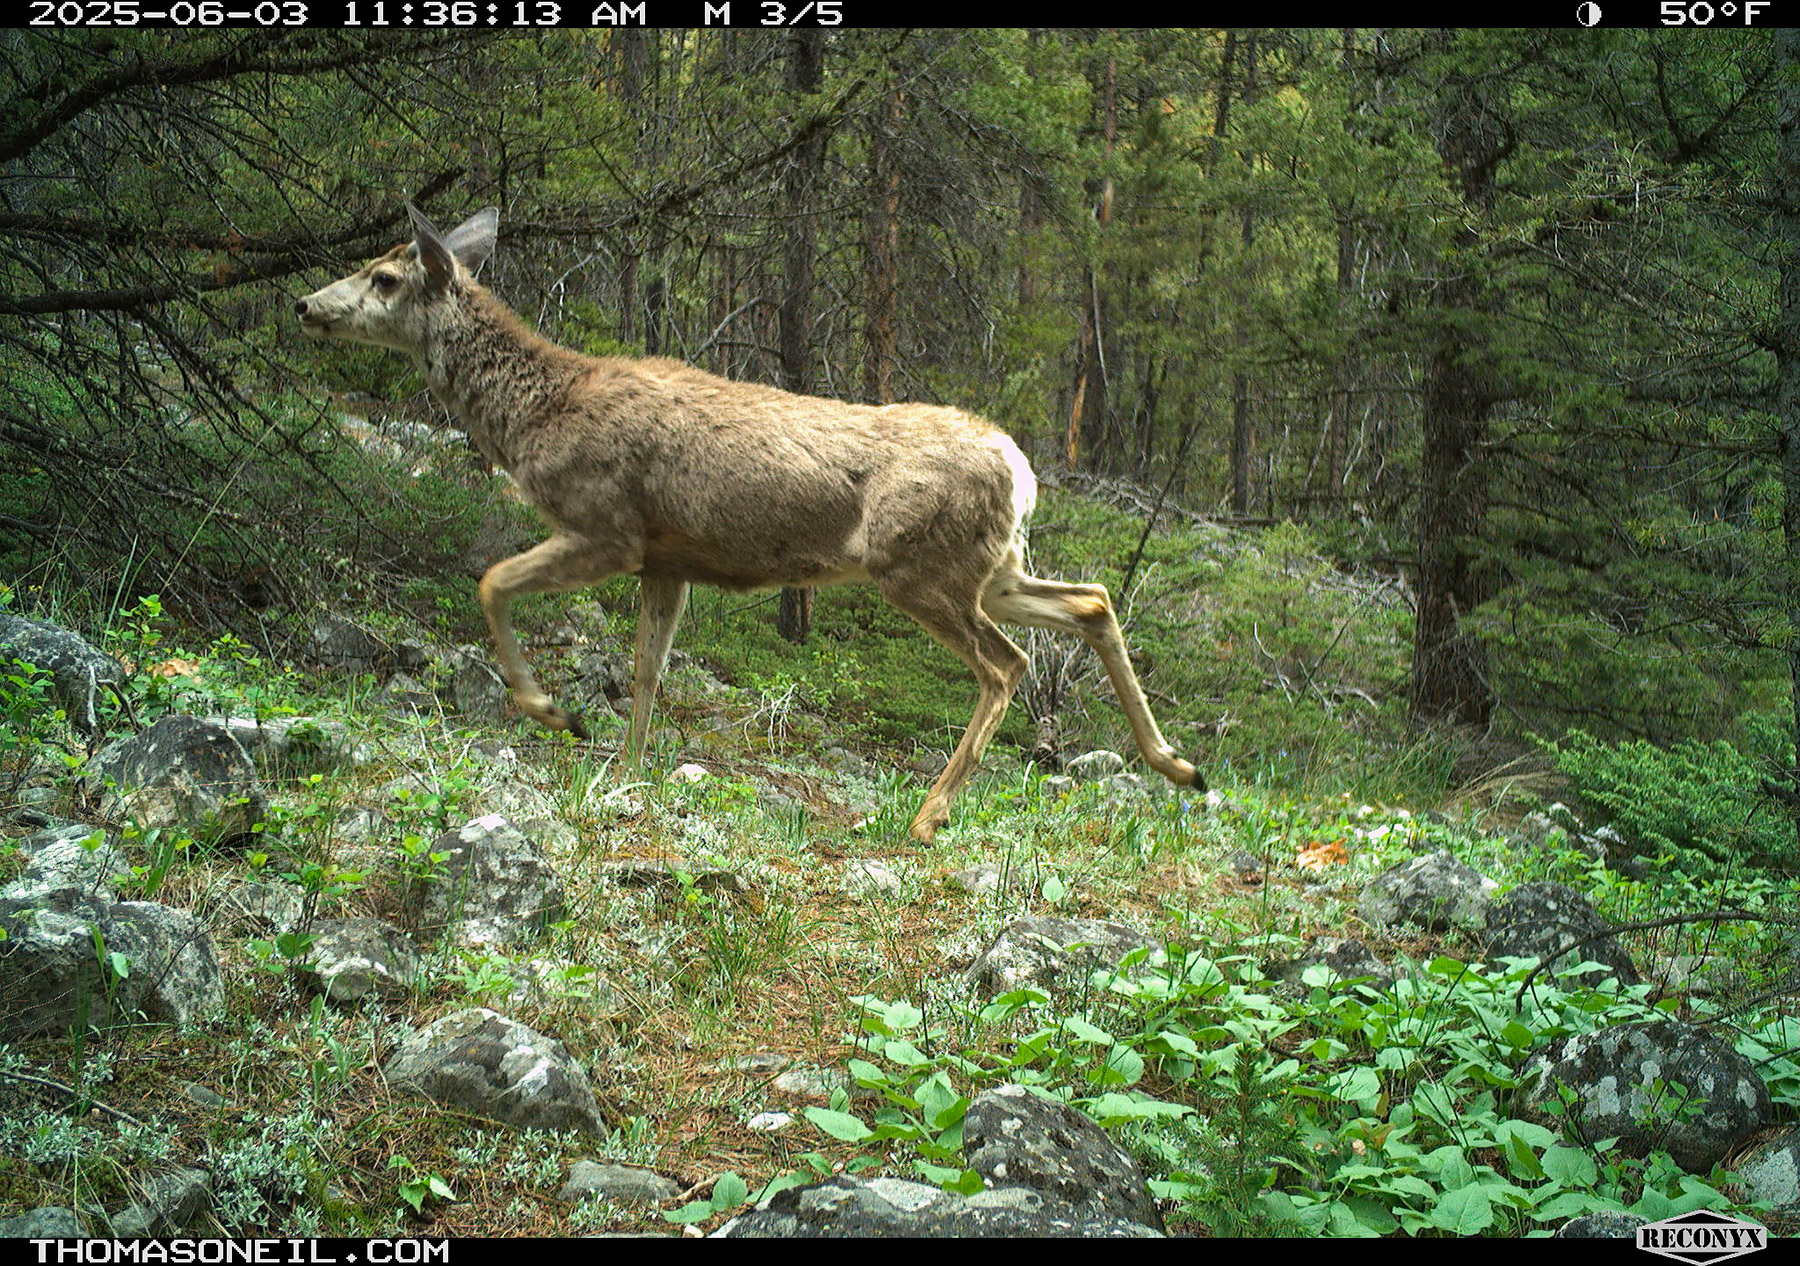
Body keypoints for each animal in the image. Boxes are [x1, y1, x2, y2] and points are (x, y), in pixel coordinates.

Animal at [295, 204, 1203, 843]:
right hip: (993, 567)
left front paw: (553, 711)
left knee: (1006, 663)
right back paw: (1177, 764)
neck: (535, 417)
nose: (306, 303)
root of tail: (1020, 467)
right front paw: (627, 772)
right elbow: (648, 671)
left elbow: (491, 582)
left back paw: (930, 813)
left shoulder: (608, 526)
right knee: (1090, 601)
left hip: (919, 566)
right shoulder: (667, 560)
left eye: (384, 276)